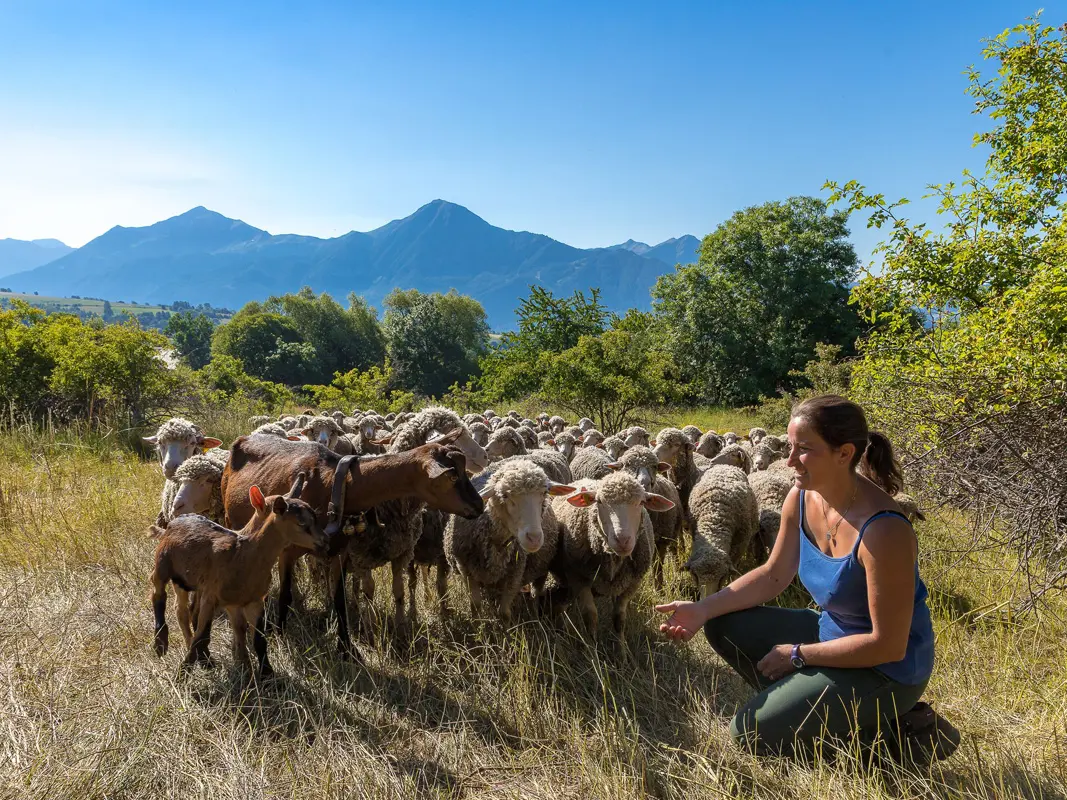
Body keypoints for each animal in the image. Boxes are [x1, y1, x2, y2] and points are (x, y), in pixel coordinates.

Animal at [149, 475, 324, 678]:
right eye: (301, 524)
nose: (325, 541)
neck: (243, 553)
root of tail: (172, 524)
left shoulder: (253, 601)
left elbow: (258, 639)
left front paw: (266, 673)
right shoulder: (211, 596)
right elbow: (202, 637)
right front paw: (182, 675)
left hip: (187, 582)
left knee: (183, 611)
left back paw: (205, 658)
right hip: (163, 563)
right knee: (158, 592)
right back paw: (161, 643)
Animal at [223, 428, 486, 661]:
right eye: (452, 476)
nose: (479, 506)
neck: (335, 483)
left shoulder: (341, 551)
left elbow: (340, 601)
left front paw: (347, 648)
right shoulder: (287, 550)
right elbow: (286, 595)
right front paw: (280, 635)